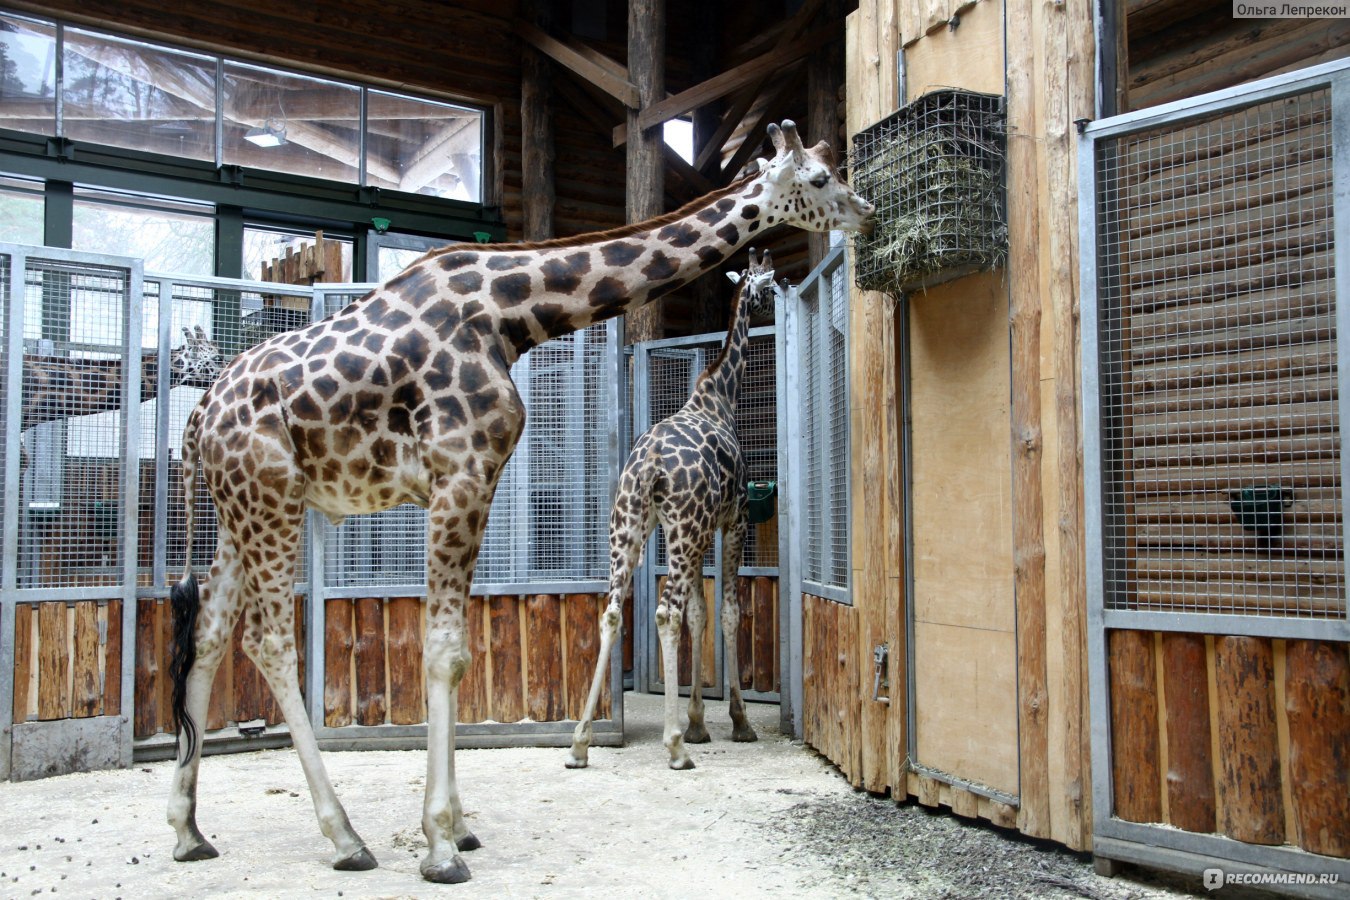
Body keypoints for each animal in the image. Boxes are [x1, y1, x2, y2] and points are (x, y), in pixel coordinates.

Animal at [567, 249, 783, 771]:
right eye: (768, 285)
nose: (776, 301)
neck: (720, 398)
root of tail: (648, 464)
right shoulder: (732, 520)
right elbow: (726, 612)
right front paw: (736, 724)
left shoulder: (700, 530)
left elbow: (699, 614)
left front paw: (701, 723)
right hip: (682, 531)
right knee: (665, 613)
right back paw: (674, 746)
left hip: (631, 529)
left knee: (612, 611)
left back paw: (580, 742)